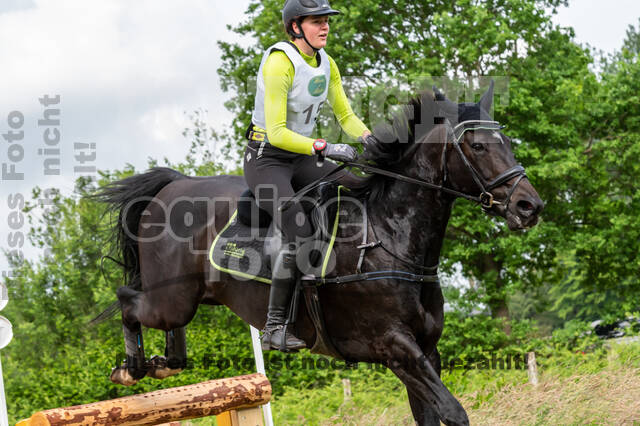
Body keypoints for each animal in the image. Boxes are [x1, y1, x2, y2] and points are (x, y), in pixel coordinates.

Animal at [94, 82, 543, 426]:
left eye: (507, 142)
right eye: (478, 146)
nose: (529, 207)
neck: (390, 237)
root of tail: (173, 185)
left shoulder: (426, 351)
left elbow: (431, 415)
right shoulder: (396, 348)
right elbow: (454, 412)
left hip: (189, 299)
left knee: (160, 321)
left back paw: (165, 362)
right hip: (170, 299)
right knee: (128, 299)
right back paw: (131, 369)